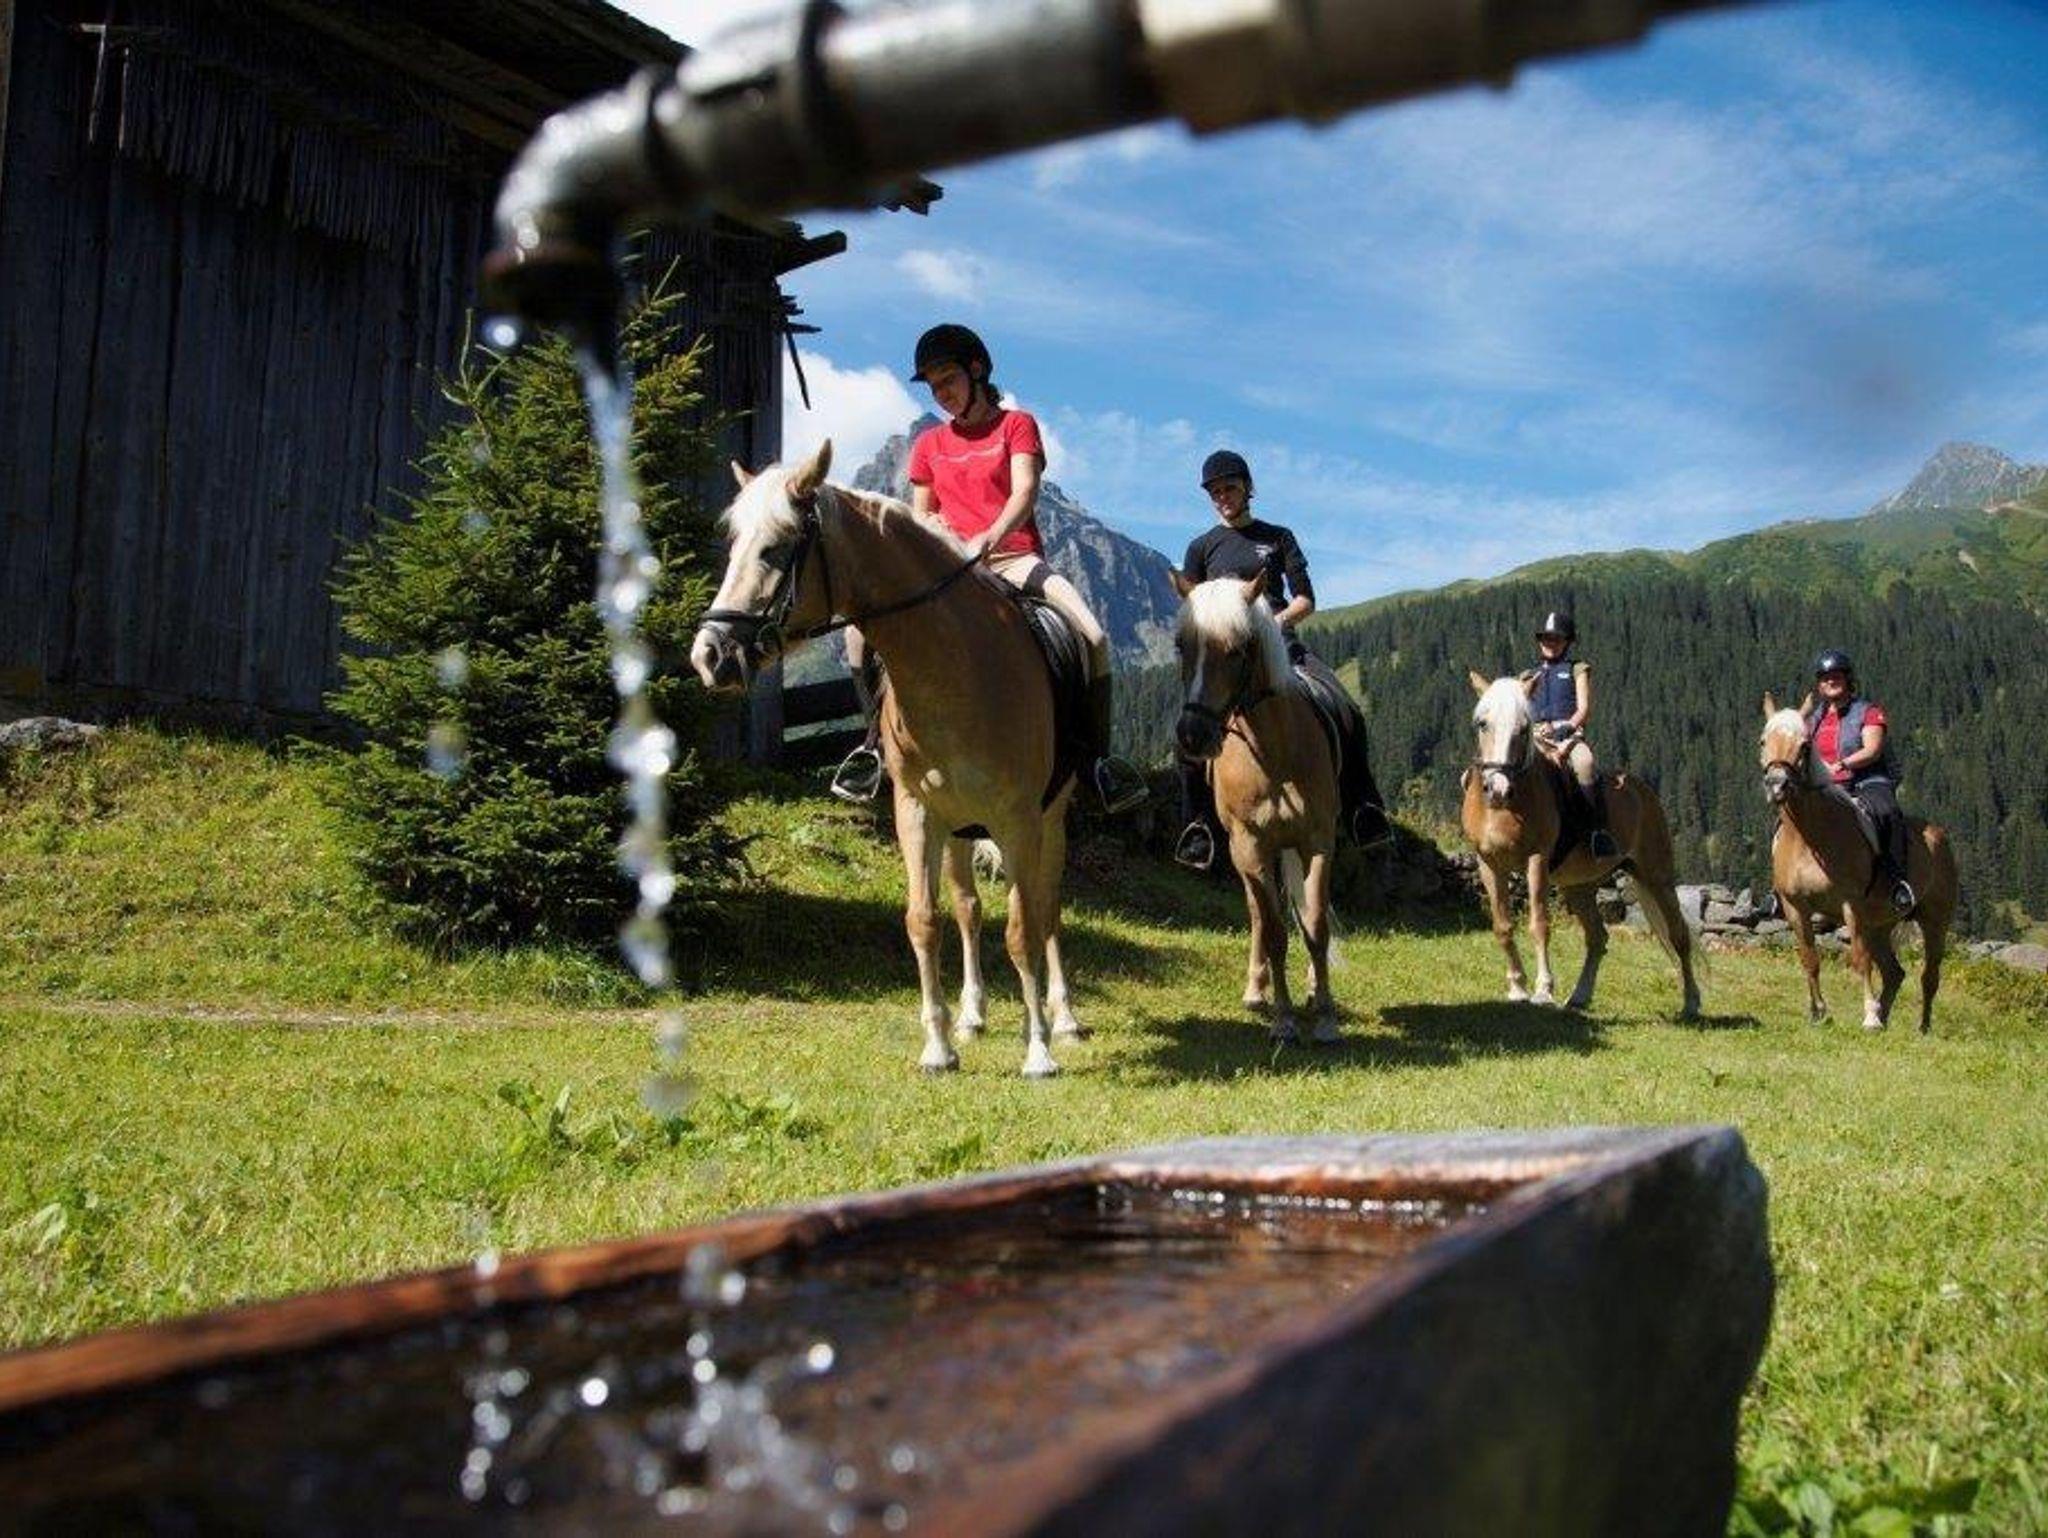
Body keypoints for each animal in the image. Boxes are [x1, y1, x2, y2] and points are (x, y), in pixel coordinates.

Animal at [689, 441, 1084, 1078]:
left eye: (776, 547)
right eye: (733, 543)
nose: (710, 656)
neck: (959, 669)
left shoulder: (1019, 819)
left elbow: (1024, 928)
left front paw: (1039, 1051)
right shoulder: (917, 810)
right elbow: (924, 921)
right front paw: (939, 1047)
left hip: (1051, 818)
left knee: (1046, 907)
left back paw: (1065, 1018)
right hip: (960, 826)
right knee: (969, 909)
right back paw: (974, 1016)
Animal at [1172, 573, 1340, 1044]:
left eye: (1237, 650)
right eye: (1180, 646)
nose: (1192, 735)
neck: (1273, 752)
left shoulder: (1317, 842)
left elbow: (1315, 926)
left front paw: (1324, 1015)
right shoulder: (1250, 846)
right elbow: (1275, 931)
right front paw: (1283, 1020)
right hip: (1245, 854)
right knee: (1259, 917)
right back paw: (1255, 990)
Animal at [1462, 672, 1700, 1017]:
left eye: (1524, 728)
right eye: (1482, 723)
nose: (1497, 789)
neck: (1507, 807)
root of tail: (1644, 792)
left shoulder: (1537, 859)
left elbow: (1539, 923)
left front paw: (1543, 990)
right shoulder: (1488, 863)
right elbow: (1503, 925)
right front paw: (1517, 988)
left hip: (1657, 877)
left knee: (1678, 935)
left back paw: (1692, 1002)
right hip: (1580, 886)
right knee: (1597, 937)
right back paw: (1578, 997)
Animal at [1759, 695, 1957, 1032]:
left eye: (1804, 745)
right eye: (1763, 741)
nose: (1776, 785)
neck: (1810, 839)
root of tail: (1938, 835)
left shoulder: (1851, 905)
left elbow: (1859, 960)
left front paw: (1869, 1017)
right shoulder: (1795, 906)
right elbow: (1809, 958)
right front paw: (1818, 1013)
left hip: (1934, 921)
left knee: (1929, 976)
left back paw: (1921, 1027)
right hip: (1879, 924)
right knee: (1894, 972)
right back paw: (1885, 1014)